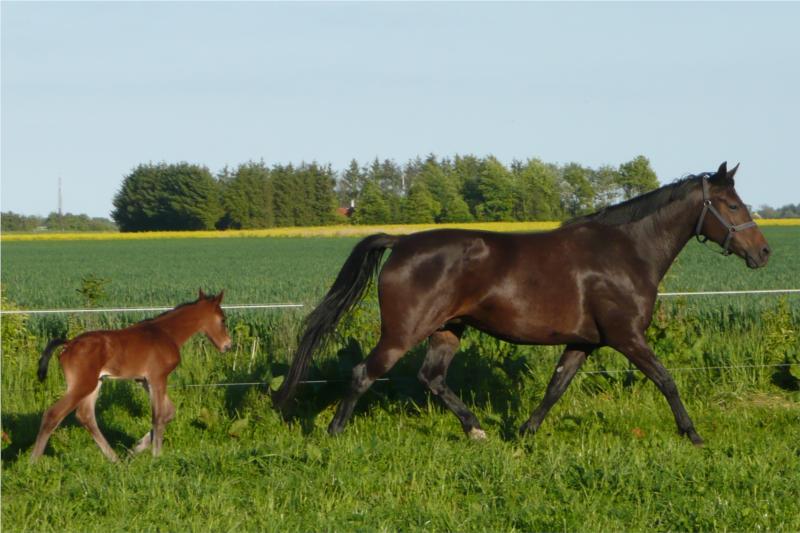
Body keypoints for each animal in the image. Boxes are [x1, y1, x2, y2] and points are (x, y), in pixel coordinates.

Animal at [30, 288, 231, 460]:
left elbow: (168, 412)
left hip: (96, 382)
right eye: (223, 320)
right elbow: (158, 416)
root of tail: (69, 344)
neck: (165, 333)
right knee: (53, 414)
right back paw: (34, 462)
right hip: (83, 384)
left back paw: (115, 460)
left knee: (85, 416)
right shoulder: (158, 377)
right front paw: (157, 456)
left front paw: (135, 449)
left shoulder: (143, 380)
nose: (228, 345)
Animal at [276, 162, 768, 444]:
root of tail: (401, 243)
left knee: (431, 378)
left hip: (448, 330)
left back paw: (476, 429)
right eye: (731, 204)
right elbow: (667, 380)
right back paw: (334, 434)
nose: (763, 253)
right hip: (403, 332)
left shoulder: (585, 342)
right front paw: (693, 434)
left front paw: (525, 433)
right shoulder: (627, 337)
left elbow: (556, 386)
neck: (625, 251)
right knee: (364, 374)